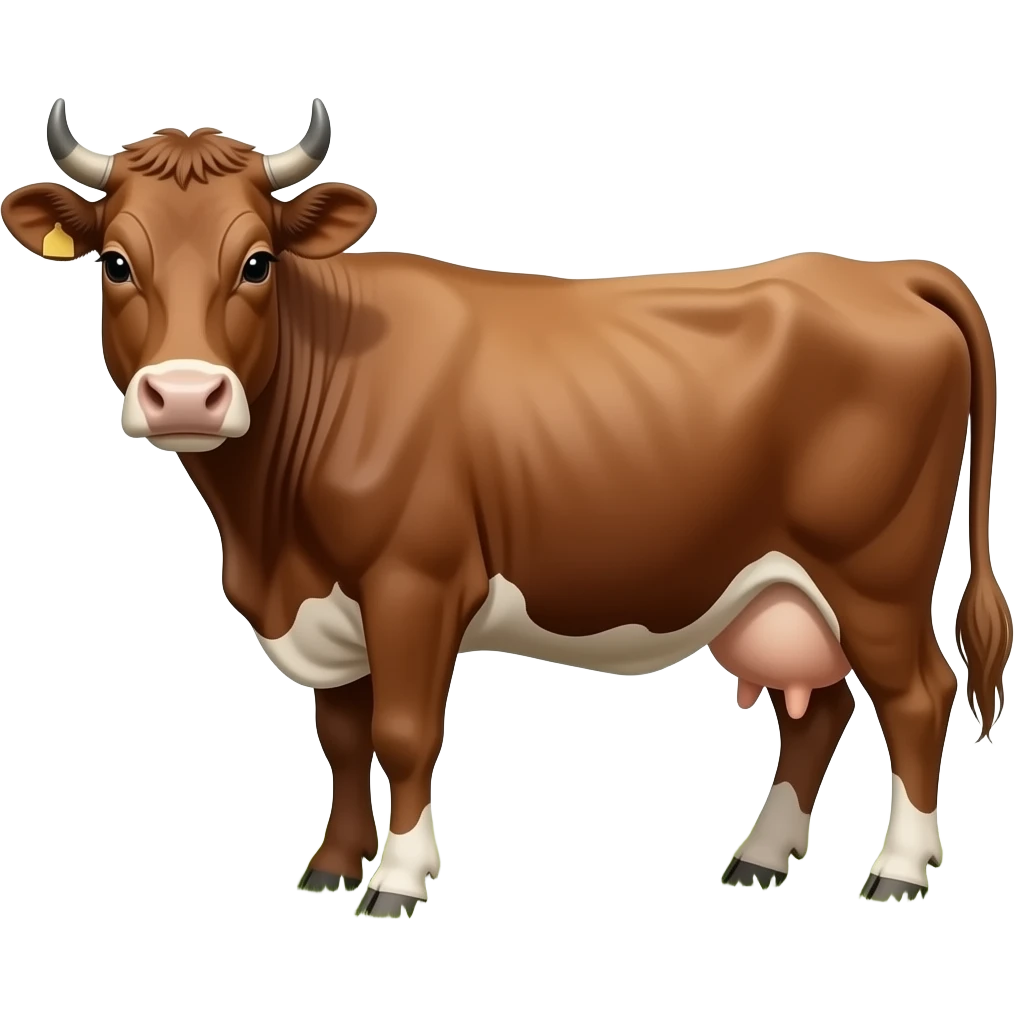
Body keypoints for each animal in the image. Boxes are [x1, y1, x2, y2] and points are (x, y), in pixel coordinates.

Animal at [2, 97, 1008, 915]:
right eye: (117, 262)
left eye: (255, 262)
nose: (185, 395)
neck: (267, 536)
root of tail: (884, 272)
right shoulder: (329, 604)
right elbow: (341, 736)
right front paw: (329, 865)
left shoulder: (414, 581)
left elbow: (404, 734)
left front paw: (398, 879)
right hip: (782, 586)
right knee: (819, 708)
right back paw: (760, 856)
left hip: (873, 572)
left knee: (917, 696)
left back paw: (898, 871)